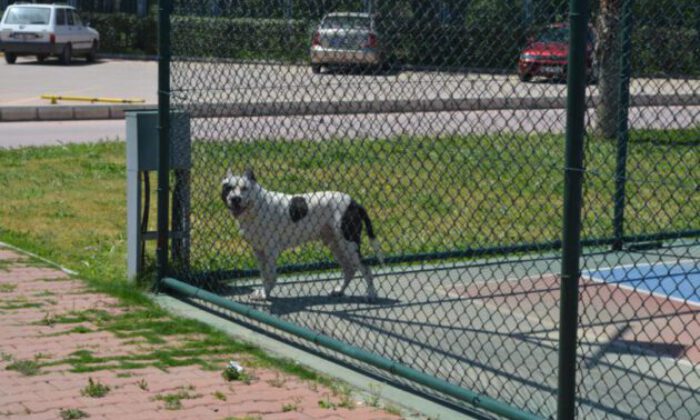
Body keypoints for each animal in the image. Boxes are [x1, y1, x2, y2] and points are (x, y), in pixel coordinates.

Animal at [221, 169, 382, 300]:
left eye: (244, 188)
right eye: (229, 188)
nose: (235, 199)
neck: (256, 207)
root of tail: (354, 203)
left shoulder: (270, 251)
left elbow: (271, 276)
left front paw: (266, 294)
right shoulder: (258, 251)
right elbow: (264, 275)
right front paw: (264, 293)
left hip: (348, 243)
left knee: (365, 268)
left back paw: (372, 294)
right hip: (335, 244)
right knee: (350, 269)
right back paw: (339, 290)